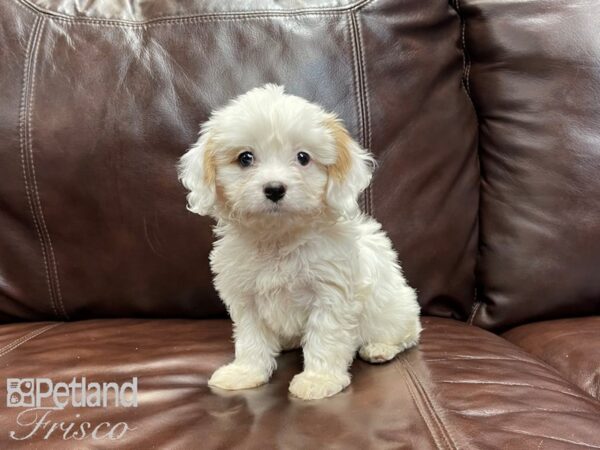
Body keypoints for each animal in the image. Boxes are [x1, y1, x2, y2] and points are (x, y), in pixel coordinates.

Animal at [178, 85, 422, 400]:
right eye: (245, 158)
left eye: (303, 157)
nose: (274, 189)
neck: (279, 237)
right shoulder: (246, 297)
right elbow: (251, 339)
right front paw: (245, 372)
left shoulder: (332, 293)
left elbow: (325, 338)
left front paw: (318, 380)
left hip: (396, 311)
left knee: (407, 334)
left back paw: (380, 348)